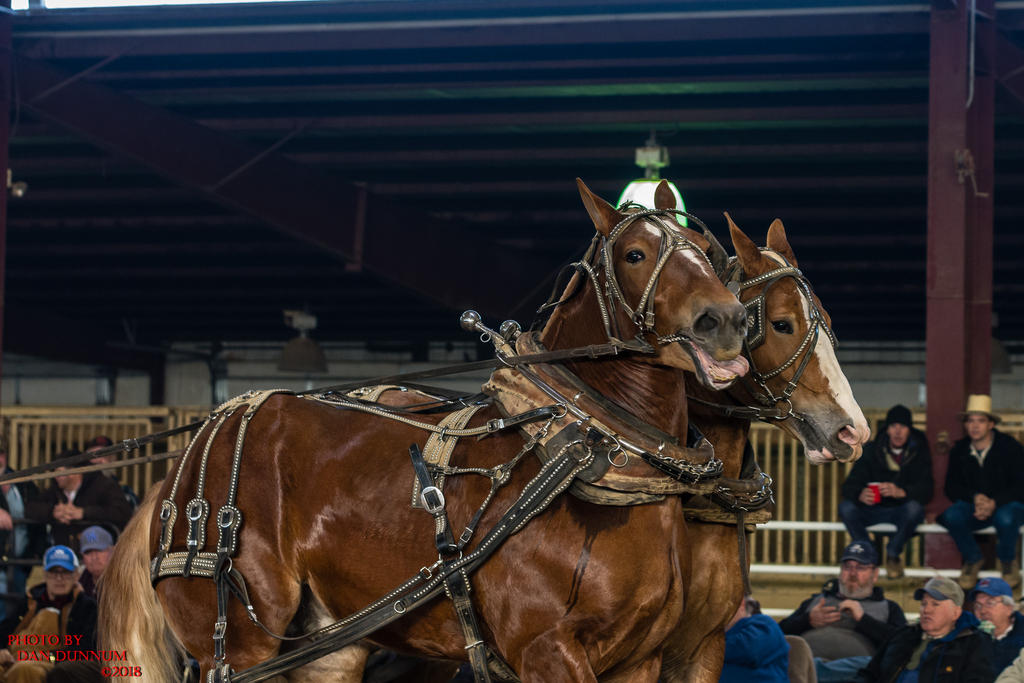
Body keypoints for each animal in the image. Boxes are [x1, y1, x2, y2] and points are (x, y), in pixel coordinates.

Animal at [100, 179, 753, 683]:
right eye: (636, 255)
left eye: (709, 251)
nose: (724, 320)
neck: (589, 450)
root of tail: (177, 475)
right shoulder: (547, 651)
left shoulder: (639, 661)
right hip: (241, 645)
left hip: (325, 651)